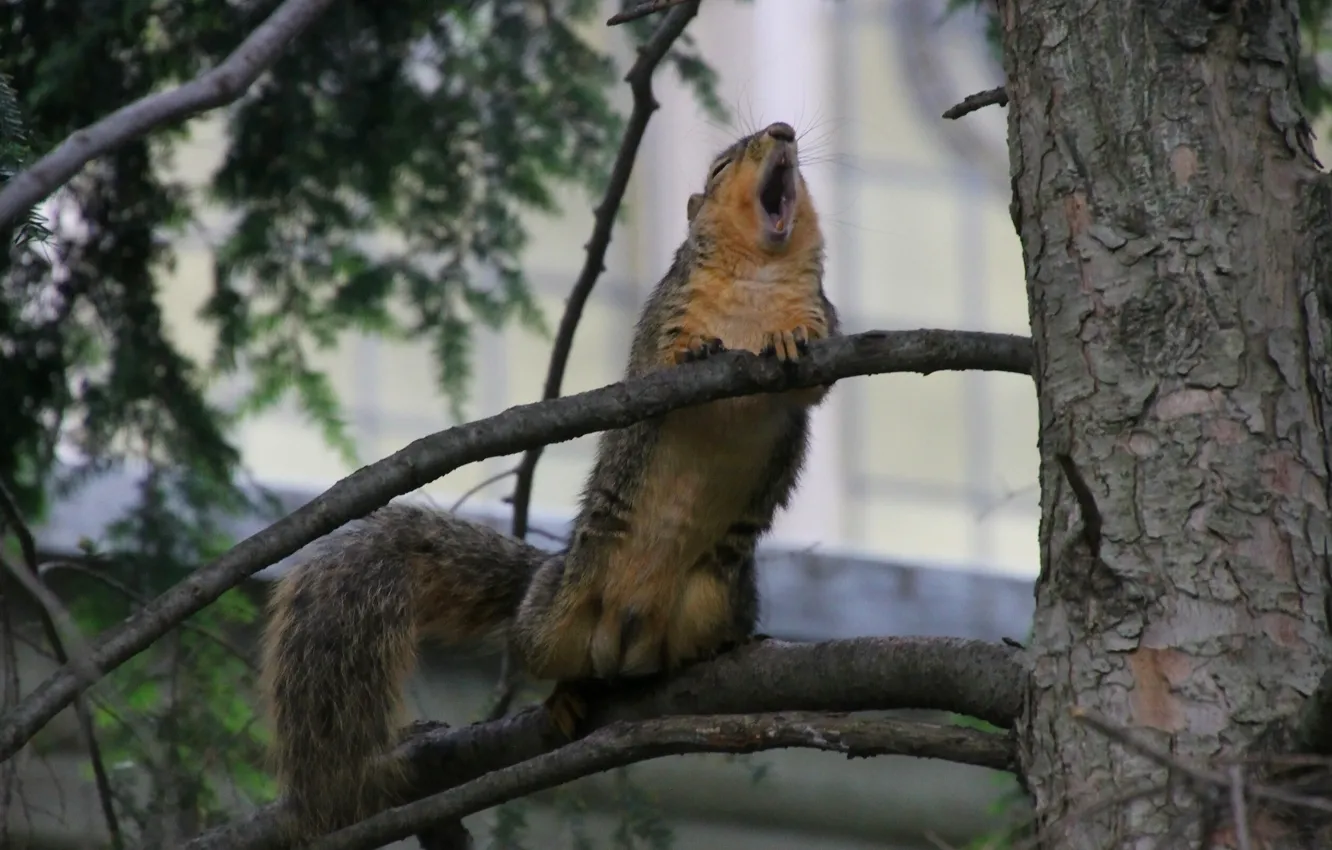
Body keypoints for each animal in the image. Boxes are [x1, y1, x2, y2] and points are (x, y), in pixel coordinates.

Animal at [259, 120, 841, 839]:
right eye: (722, 163)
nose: (783, 132)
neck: (760, 271)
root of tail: (628, 630)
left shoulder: (824, 319)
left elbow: (812, 376)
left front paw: (787, 339)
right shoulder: (662, 320)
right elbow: (653, 372)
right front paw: (696, 353)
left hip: (712, 599)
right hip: (553, 618)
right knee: (545, 656)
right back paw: (564, 699)